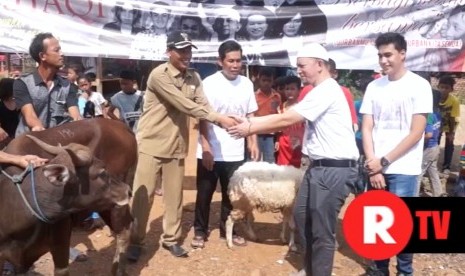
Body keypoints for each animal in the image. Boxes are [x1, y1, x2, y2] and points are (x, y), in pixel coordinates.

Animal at [5, 119, 138, 276]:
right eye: (101, 172)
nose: (127, 190)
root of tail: (122, 127)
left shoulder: (60, 243)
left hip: (113, 206)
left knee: (124, 231)